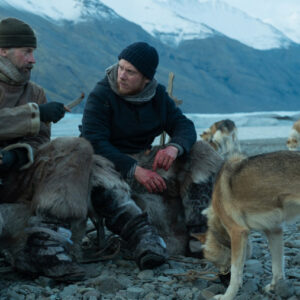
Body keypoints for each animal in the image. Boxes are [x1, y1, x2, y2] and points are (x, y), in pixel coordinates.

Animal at [203, 152, 300, 300]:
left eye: (216, 263)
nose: (221, 278)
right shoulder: (274, 231)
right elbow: (277, 268)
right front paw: (273, 287)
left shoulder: (237, 232)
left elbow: (235, 273)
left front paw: (227, 296)